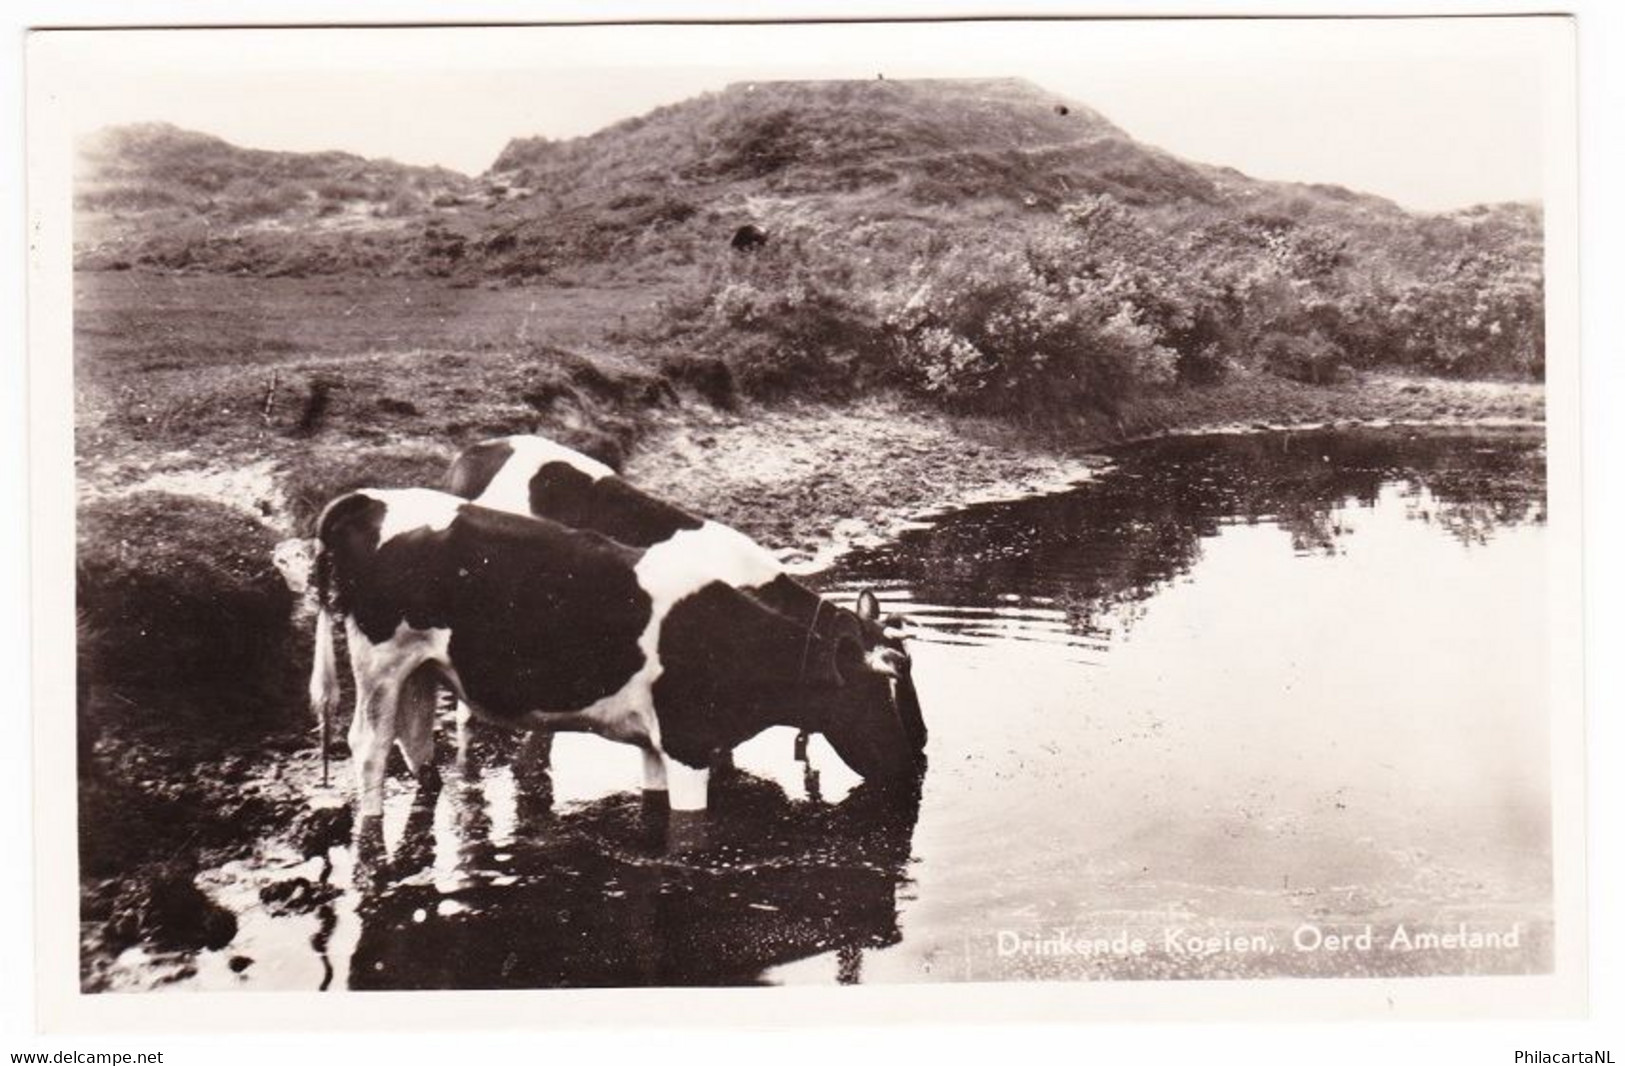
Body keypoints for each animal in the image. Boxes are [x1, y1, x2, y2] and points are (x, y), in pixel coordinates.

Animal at [308, 490, 923, 815]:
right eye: (876, 691)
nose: (912, 761)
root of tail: (373, 499)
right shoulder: (689, 744)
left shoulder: (657, 747)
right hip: (379, 663)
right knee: (368, 746)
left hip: (421, 667)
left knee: (413, 741)